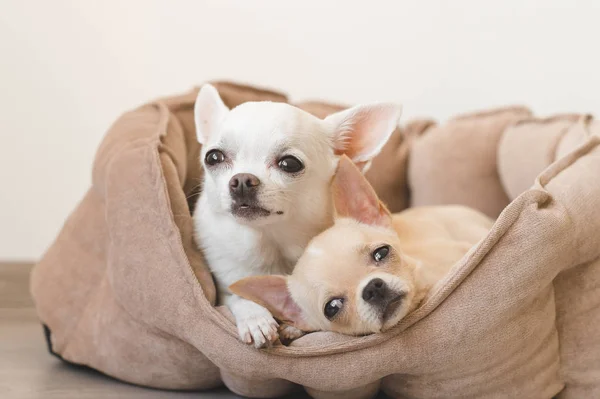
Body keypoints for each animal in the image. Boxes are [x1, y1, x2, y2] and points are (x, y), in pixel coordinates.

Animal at [195, 83, 400, 346]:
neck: (271, 240)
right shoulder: (223, 288)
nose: (241, 180)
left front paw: (293, 326)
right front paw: (255, 318)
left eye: (289, 163)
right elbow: (235, 296)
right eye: (213, 158)